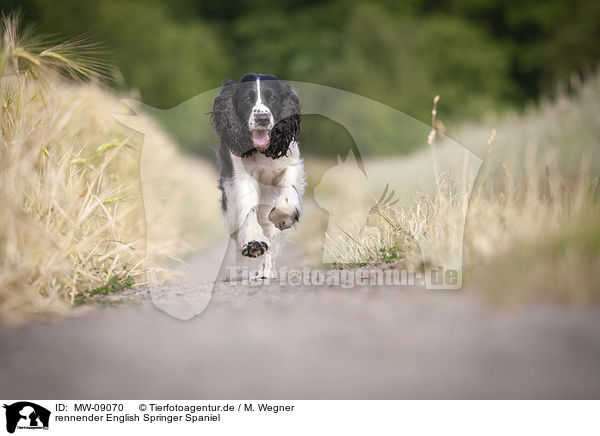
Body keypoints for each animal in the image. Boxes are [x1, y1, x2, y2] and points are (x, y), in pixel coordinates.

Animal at [211, 73, 304, 278]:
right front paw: (254, 243)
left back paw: (264, 272)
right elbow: (248, 210)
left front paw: (282, 217)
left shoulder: (292, 162)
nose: (262, 118)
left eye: (273, 98)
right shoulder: (243, 179)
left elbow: (288, 191)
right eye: (247, 99)